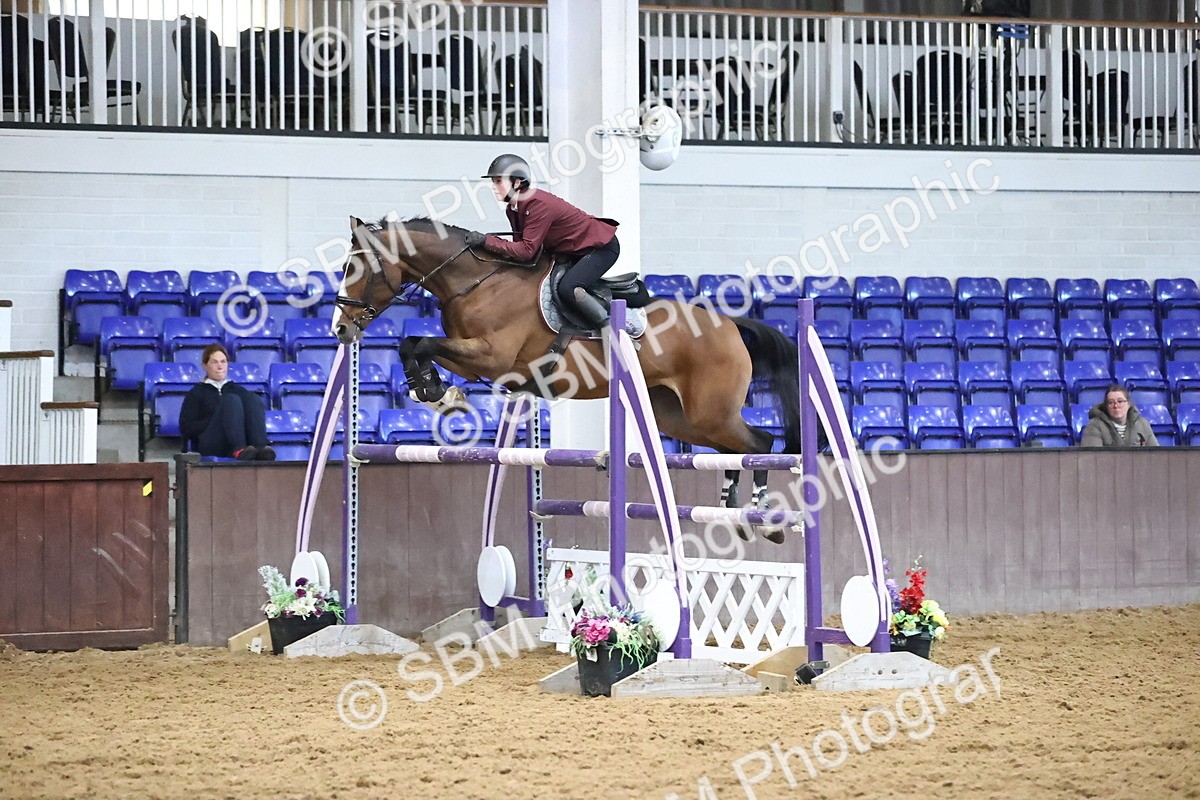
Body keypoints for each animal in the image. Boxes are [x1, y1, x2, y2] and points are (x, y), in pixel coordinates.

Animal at [331, 215, 805, 543]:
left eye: (358, 269)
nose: (341, 329)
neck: (476, 281)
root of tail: (730, 325)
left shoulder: (492, 355)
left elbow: (422, 343)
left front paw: (439, 394)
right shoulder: (474, 359)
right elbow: (413, 344)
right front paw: (433, 391)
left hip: (711, 412)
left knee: (760, 444)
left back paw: (767, 522)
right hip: (680, 417)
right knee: (733, 452)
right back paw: (734, 515)